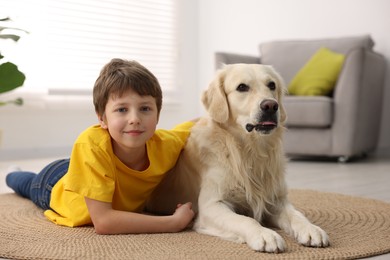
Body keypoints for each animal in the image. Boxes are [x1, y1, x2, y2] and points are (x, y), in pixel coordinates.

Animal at [148, 64, 330, 253]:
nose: (271, 105)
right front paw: (265, 234)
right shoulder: (212, 205)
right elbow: (245, 219)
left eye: (272, 85)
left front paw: (311, 229)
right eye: (242, 87)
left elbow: (297, 214)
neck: (251, 151)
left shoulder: (276, 201)